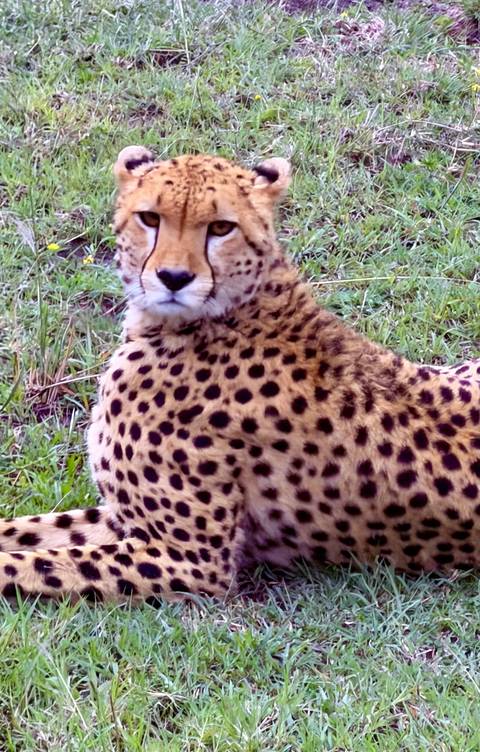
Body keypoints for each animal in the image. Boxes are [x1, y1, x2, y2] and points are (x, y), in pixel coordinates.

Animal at [2, 144, 480, 604]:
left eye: (220, 228)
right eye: (150, 218)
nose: (173, 277)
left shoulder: (191, 561)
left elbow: (26, 564)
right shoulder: (126, 522)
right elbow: (23, 532)